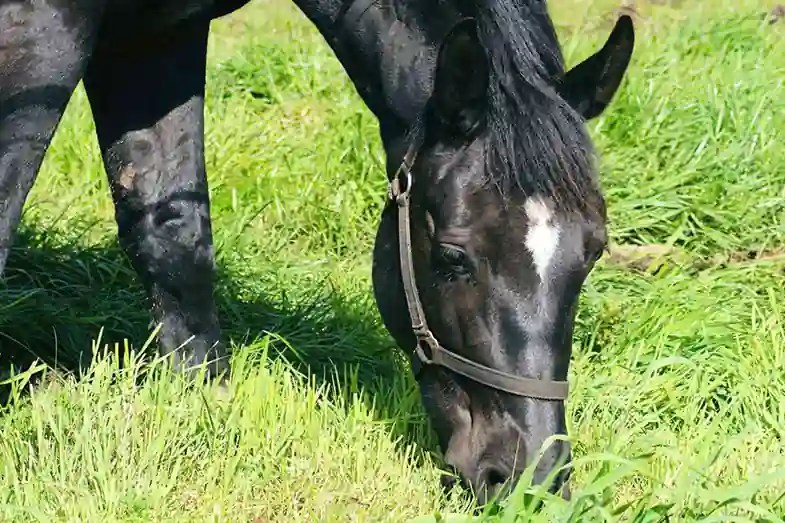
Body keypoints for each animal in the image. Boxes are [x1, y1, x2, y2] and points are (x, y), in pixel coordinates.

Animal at [0, 0, 633, 504]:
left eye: (592, 253)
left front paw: (204, 406)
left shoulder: (159, 38)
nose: (534, 481)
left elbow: (175, 240)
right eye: (453, 257)